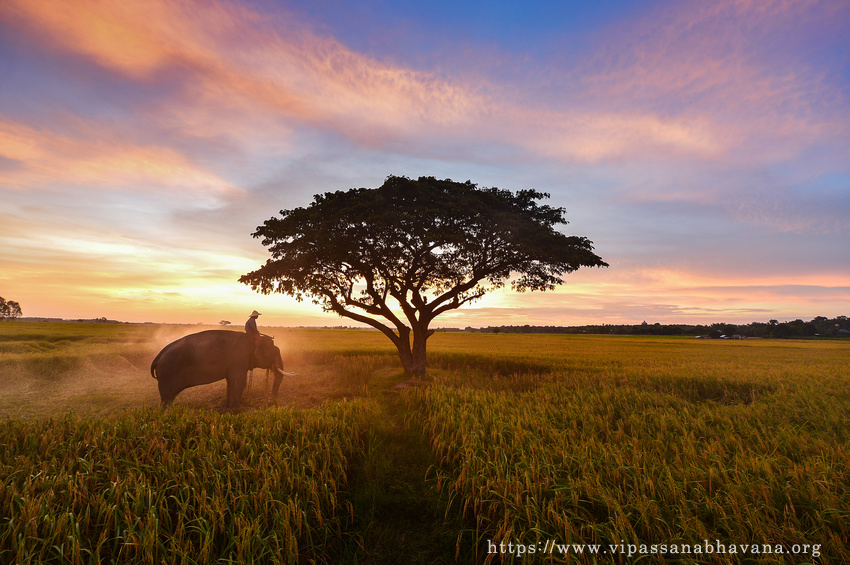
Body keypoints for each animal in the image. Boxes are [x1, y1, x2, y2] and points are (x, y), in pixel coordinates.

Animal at [151, 328, 286, 408]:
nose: (272, 403)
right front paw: (235, 412)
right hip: (168, 375)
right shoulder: (239, 360)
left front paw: (228, 407)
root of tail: (159, 355)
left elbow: (231, 382)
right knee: (166, 399)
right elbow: (239, 382)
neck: (254, 339)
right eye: (275, 352)